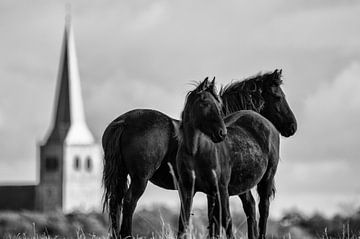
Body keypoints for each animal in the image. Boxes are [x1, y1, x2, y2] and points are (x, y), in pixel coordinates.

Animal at [102, 68, 296, 237]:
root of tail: (123, 122)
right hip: (140, 178)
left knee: (115, 203)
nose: (293, 126)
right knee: (129, 203)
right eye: (278, 96)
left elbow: (218, 216)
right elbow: (231, 213)